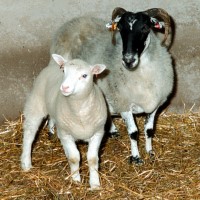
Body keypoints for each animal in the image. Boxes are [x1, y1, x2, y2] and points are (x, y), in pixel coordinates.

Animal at [20, 53, 107, 189]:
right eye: (64, 71)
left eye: (84, 75)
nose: (65, 87)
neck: (80, 113)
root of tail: (52, 66)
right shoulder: (65, 134)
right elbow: (74, 158)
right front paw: (76, 181)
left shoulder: (98, 133)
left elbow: (93, 159)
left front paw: (95, 184)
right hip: (36, 103)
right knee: (29, 133)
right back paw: (26, 163)